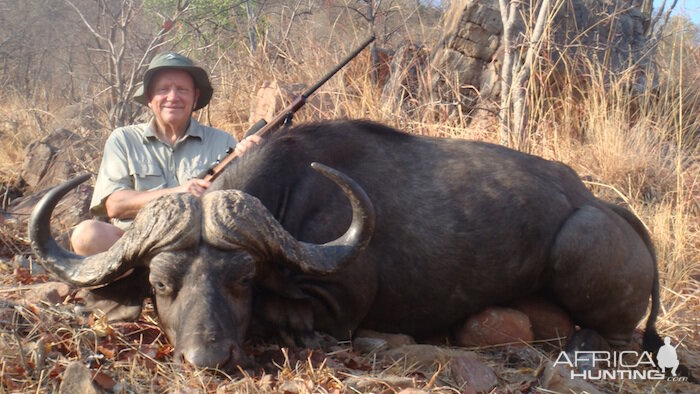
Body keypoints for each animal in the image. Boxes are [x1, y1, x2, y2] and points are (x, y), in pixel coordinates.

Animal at [28, 119, 660, 370]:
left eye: (243, 280)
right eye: (162, 284)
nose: (208, 359)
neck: (291, 192)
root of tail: (603, 206)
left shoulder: (340, 308)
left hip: (578, 247)